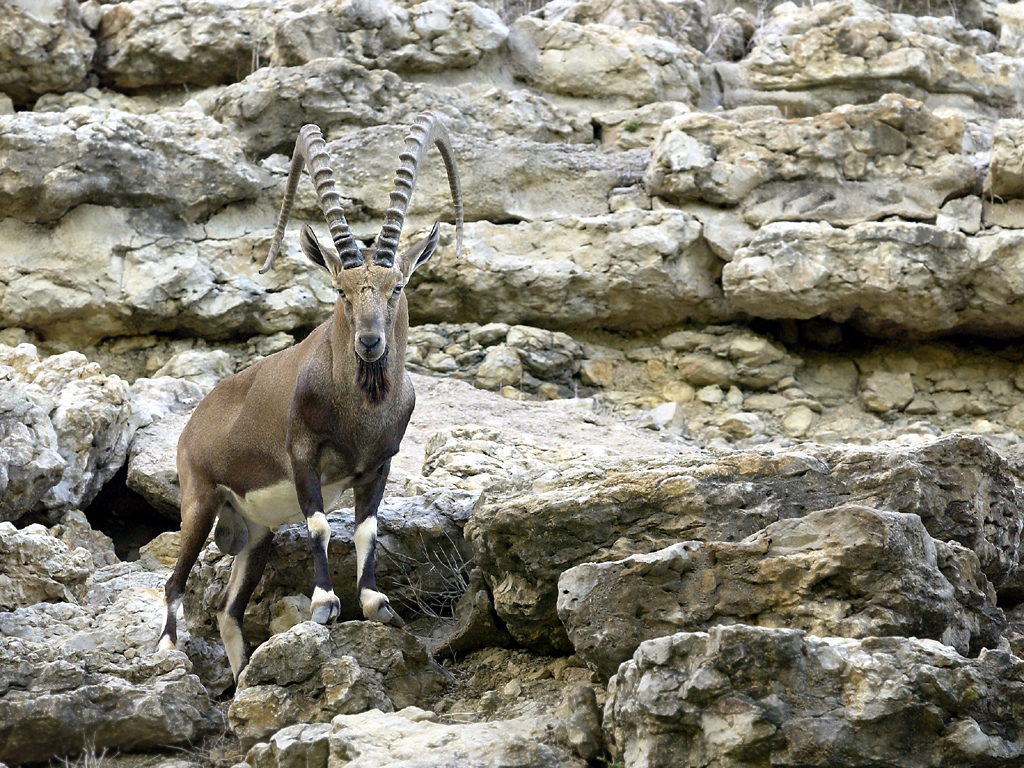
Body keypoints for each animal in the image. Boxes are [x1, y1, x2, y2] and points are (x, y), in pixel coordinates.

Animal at [155, 111, 464, 684]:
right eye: (341, 290)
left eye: (396, 287)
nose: (370, 341)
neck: (359, 410)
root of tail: (194, 422)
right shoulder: (303, 457)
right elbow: (320, 524)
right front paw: (324, 605)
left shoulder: (378, 465)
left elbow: (365, 530)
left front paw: (375, 604)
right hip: (199, 500)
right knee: (174, 582)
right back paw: (166, 652)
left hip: (255, 533)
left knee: (229, 611)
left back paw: (241, 679)